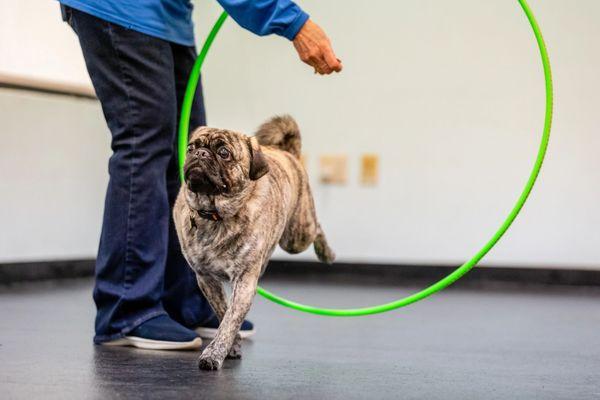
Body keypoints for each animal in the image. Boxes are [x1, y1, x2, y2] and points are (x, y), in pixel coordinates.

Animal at [173, 114, 336, 370]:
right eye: (190, 147)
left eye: (223, 152)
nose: (200, 153)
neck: (215, 215)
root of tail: (287, 151)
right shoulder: (206, 279)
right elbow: (224, 313)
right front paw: (232, 346)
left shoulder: (244, 283)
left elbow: (229, 321)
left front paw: (214, 352)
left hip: (297, 236)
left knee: (316, 228)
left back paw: (326, 252)